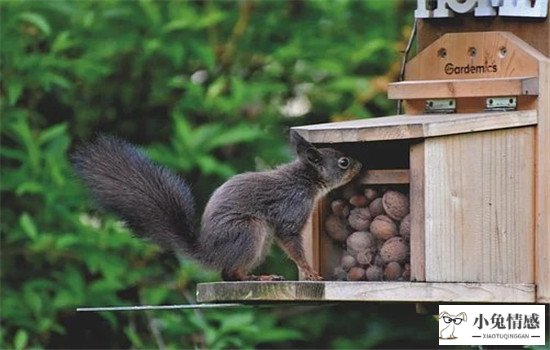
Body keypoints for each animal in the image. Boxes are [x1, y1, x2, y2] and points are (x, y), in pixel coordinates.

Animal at [74, 130, 366, 280]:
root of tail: (210, 253)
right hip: (250, 230)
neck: (306, 180)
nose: (361, 164)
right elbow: (291, 242)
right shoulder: (290, 209)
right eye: (343, 162)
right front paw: (308, 271)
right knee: (231, 274)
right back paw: (257, 278)